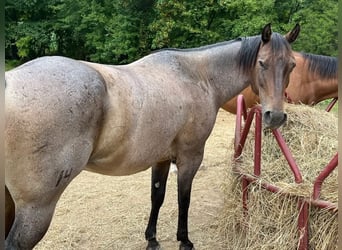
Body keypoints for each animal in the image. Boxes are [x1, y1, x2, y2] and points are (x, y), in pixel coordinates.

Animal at [4, 23, 300, 250]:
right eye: (262, 63)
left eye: (291, 66)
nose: (275, 116)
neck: (197, 76)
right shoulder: (190, 157)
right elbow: (183, 198)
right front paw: (184, 241)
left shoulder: (160, 158)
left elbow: (157, 197)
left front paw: (152, 239)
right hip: (36, 209)